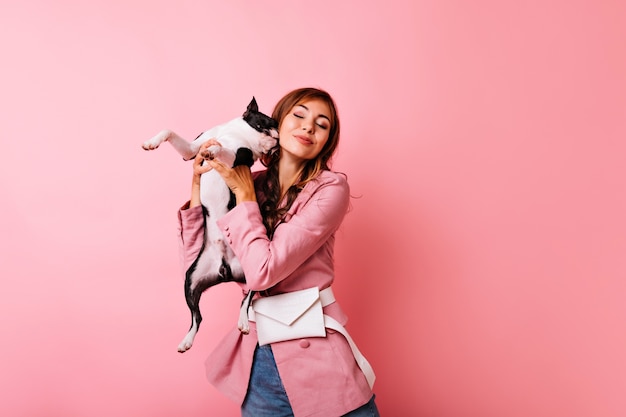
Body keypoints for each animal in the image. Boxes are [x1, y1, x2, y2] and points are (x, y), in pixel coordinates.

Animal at [144, 98, 278, 352]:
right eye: (266, 123)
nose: (277, 139)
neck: (230, 133)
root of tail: (224, 270)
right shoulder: (191, 150)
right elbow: (171, 132)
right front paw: (151, 142)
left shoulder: (236, 159)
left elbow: (222, 150)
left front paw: (213, 150)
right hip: (190, 280)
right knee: (197, 316)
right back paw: (187, 340)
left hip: (251, 272)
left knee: (246, 300)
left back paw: (243, 322)